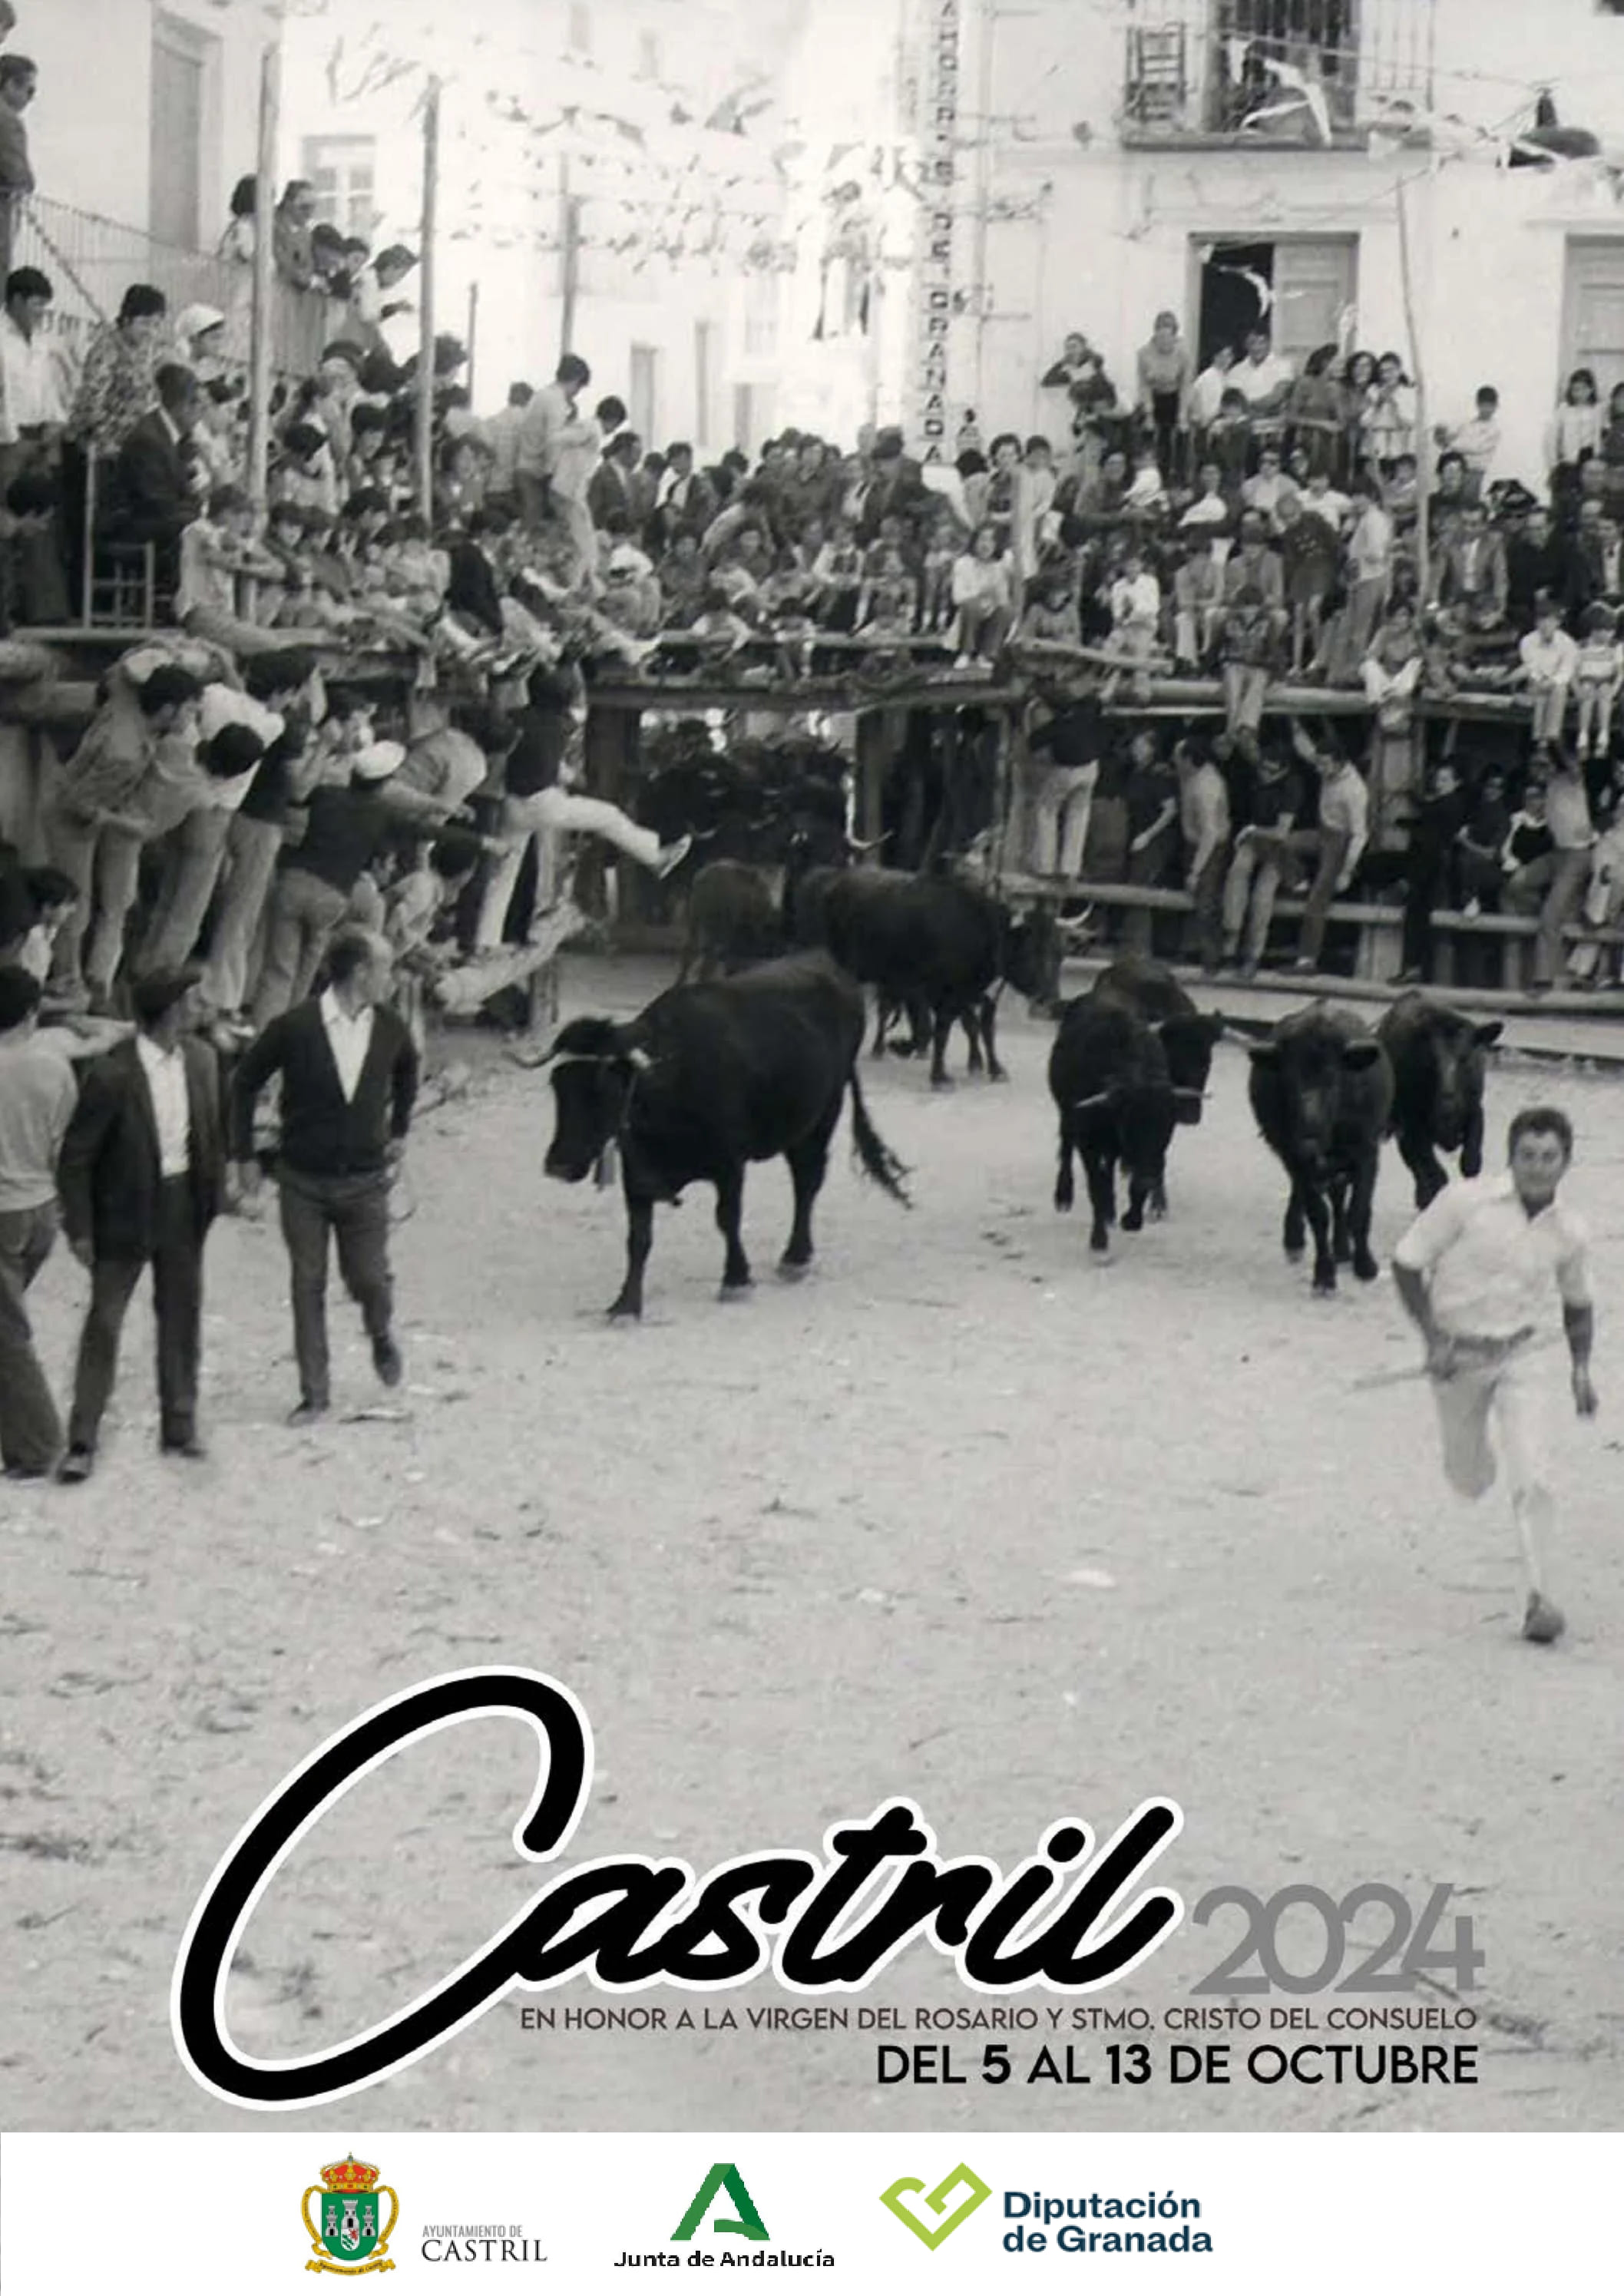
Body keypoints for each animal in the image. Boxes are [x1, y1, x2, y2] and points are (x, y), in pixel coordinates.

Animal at [540, 945, 909, 1313]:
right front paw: (626, 1304)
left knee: (807, 1183)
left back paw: (796, 1257)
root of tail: (824, 961)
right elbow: (639, 1237)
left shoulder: (730, 1164)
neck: (671, 1075)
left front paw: (736, 1279)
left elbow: (727, 1218)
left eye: (603, 1088)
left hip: (819, 1122)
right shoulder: (638, 1172)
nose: (559, 1164)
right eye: (557, 1086)